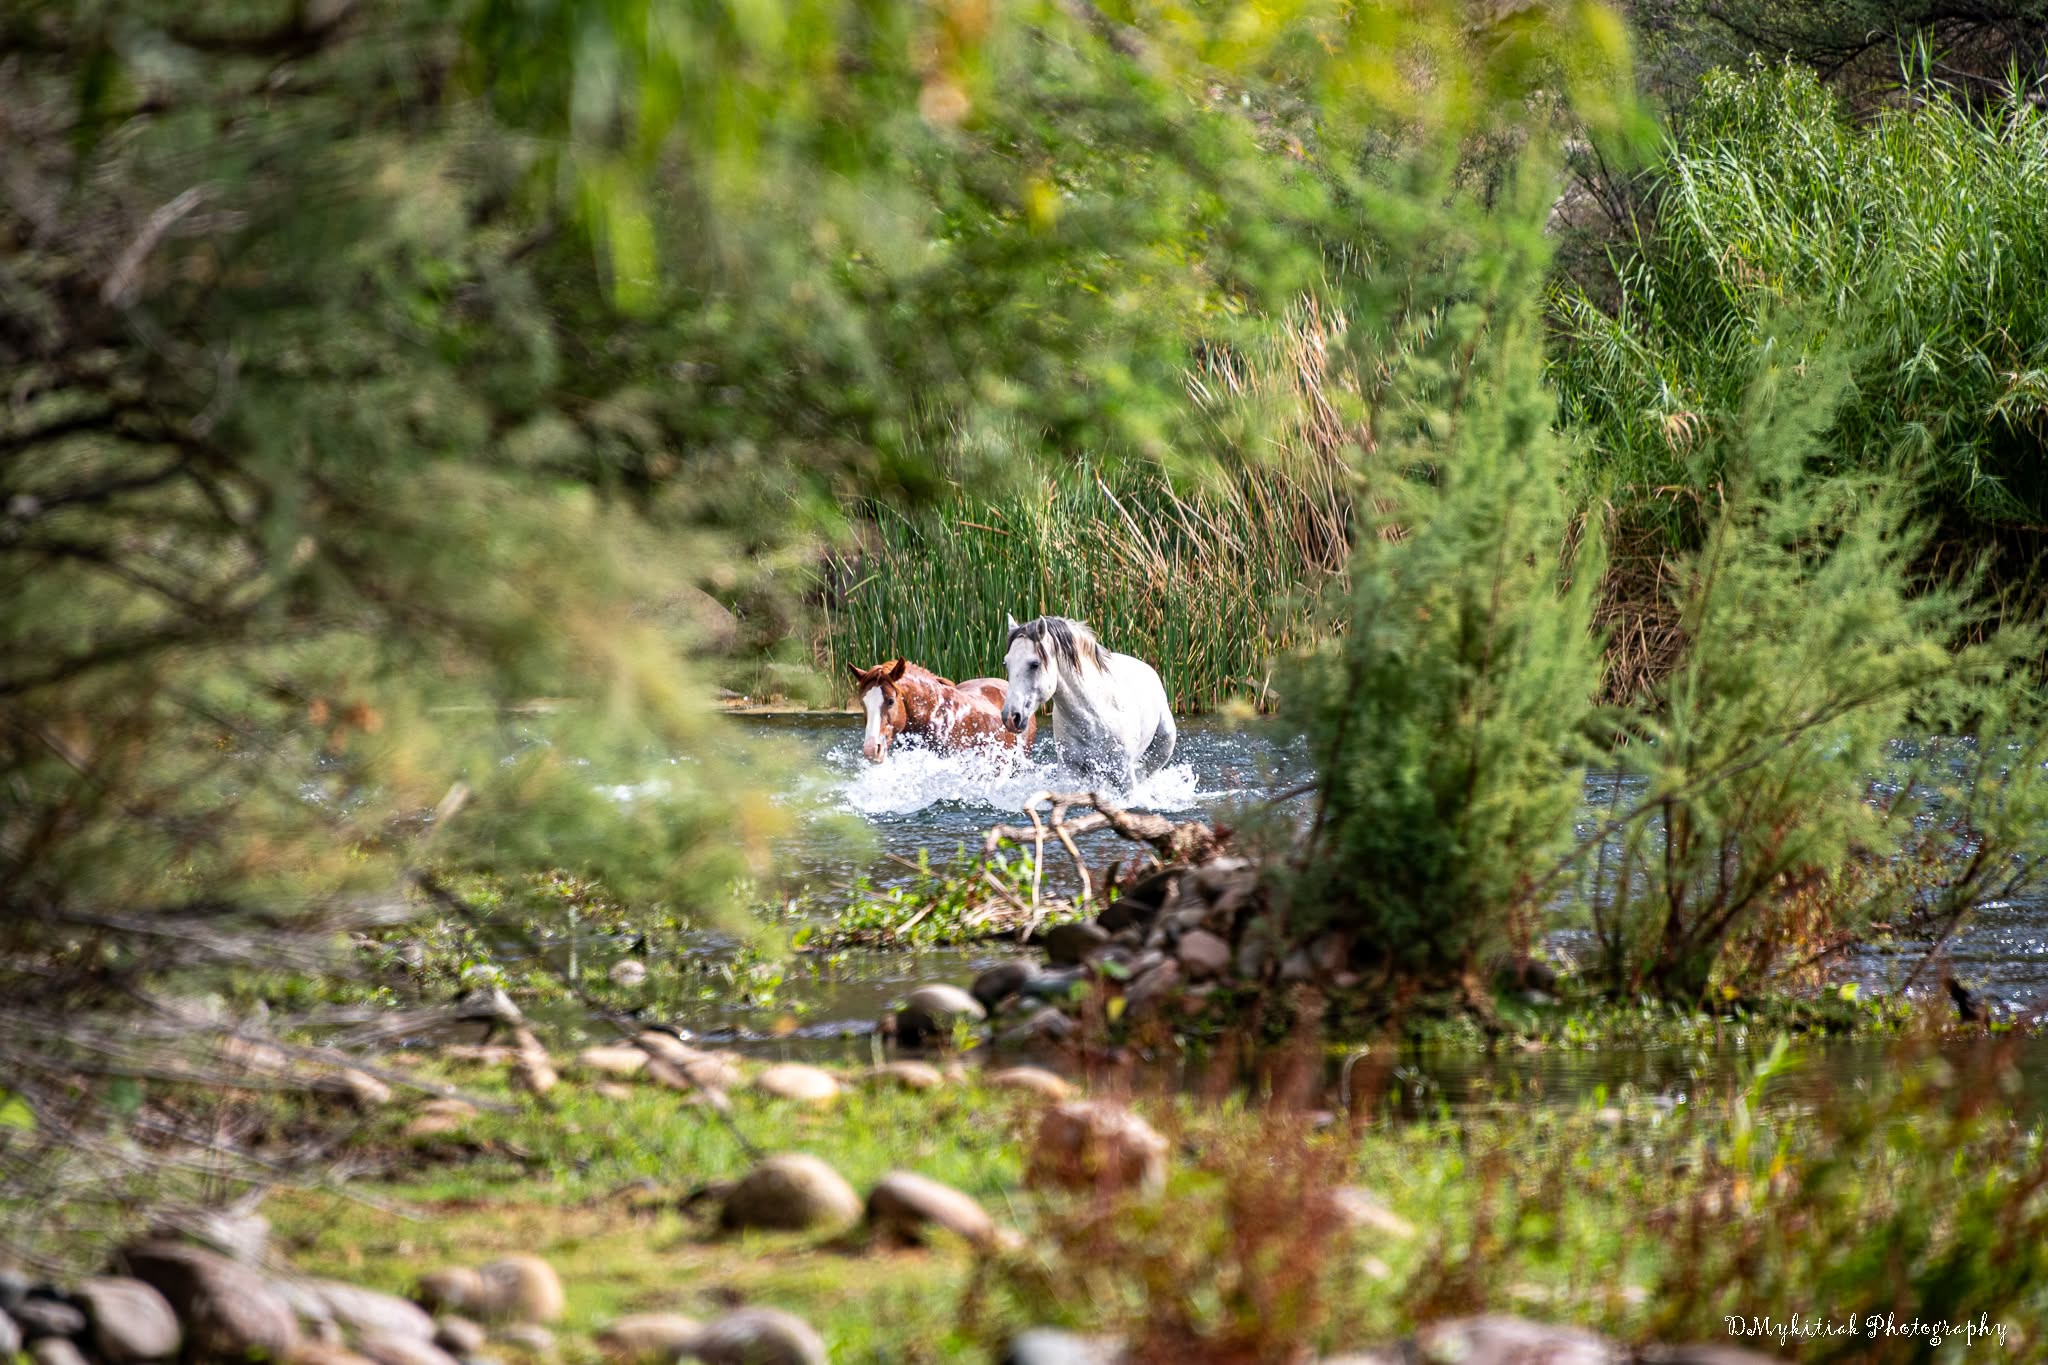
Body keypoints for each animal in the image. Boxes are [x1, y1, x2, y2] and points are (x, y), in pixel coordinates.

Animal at [1000, 615, 1175, 789]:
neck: (1093, 718)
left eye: (1035, 664)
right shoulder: (1069, 770)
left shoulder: (1124, 774)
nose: (1010, 717)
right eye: (1006, 663)